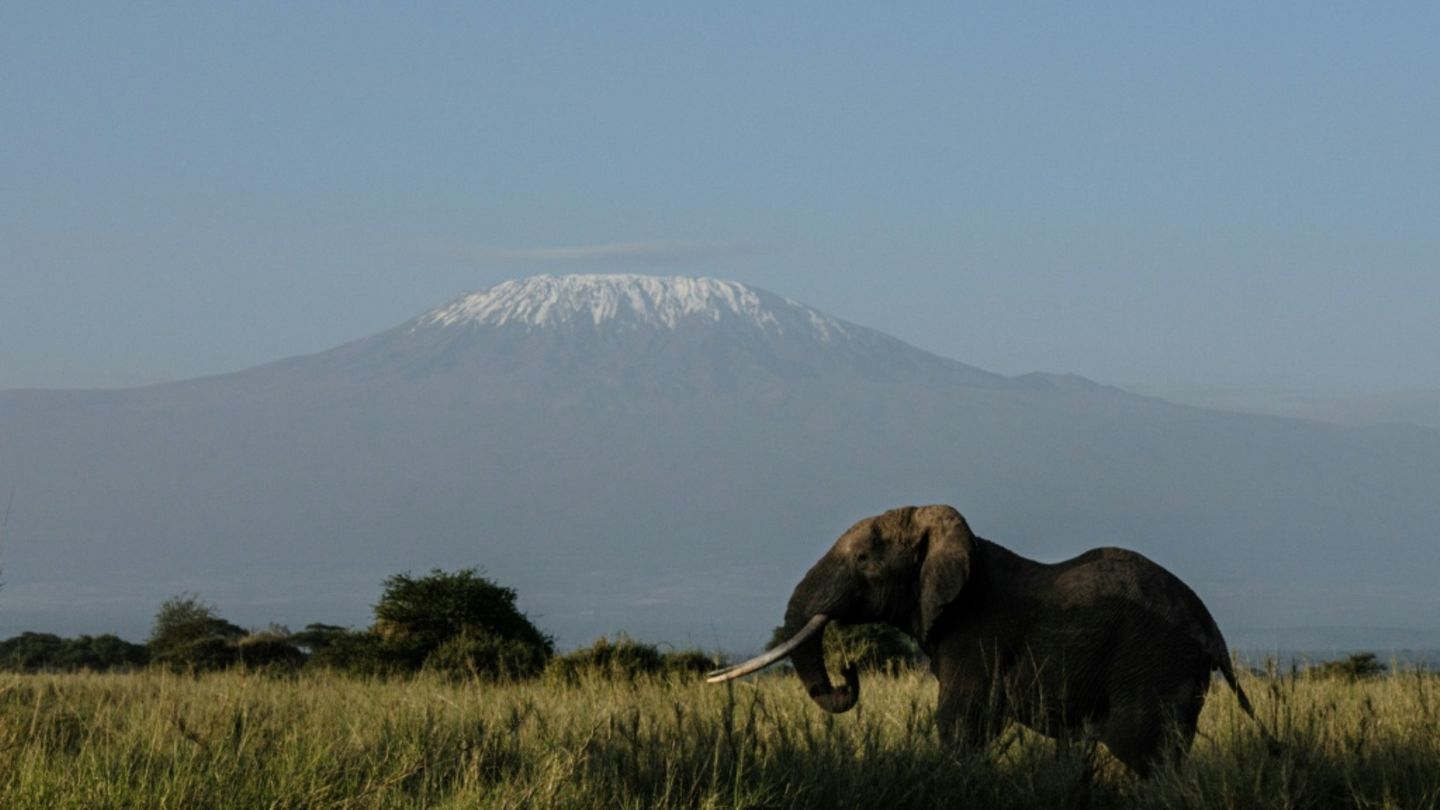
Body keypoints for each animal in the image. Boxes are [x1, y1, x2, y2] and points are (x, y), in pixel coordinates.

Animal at [708, 505, 1257, 775]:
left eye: (864, 560)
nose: (850, 671)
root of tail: (1211, 628)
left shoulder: (977, 634)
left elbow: (959, 723)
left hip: (1153, 664)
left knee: (1141, 754)